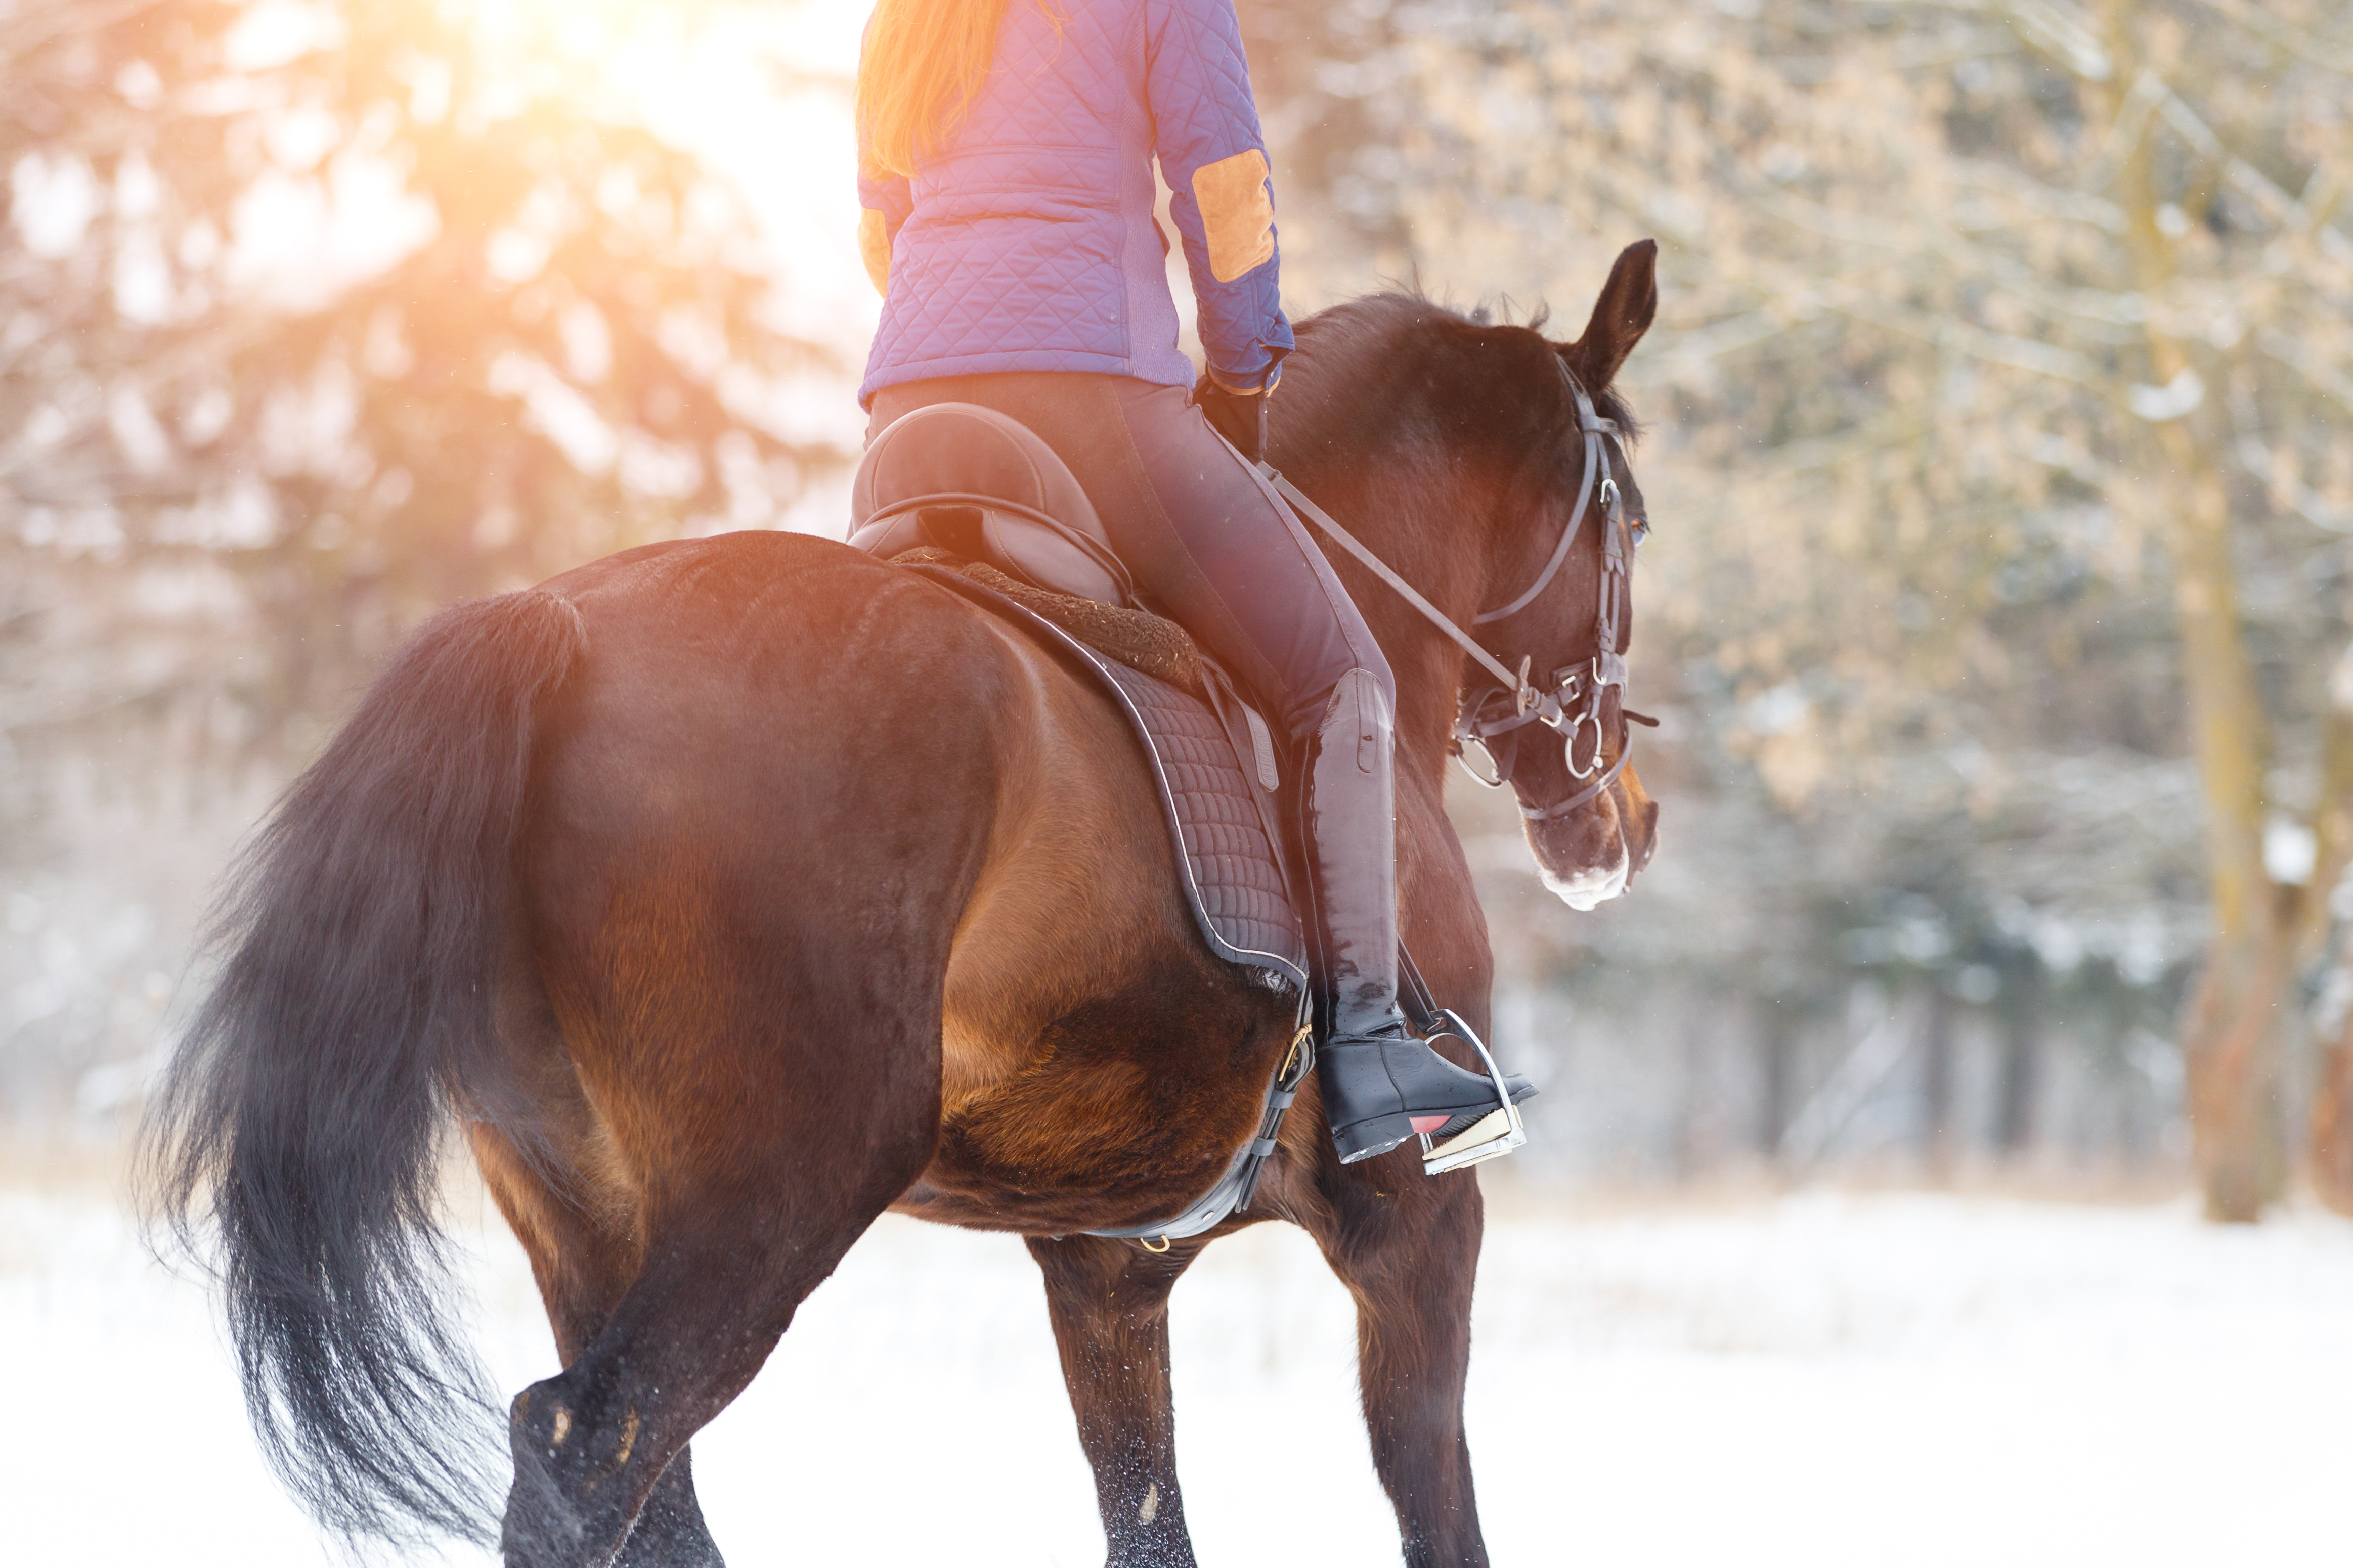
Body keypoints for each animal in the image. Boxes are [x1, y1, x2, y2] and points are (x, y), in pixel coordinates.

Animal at [147, 236, 1666, 1568]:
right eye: (1632, 526)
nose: (1624, 822)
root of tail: (561, 626)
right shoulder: (1417, 1226)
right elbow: (1437, 1513)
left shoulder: (1105, 1270)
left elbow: (1149, 1523)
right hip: (777, 1189)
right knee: (589, 1452)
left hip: (585, 1205)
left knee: (650, 1493)